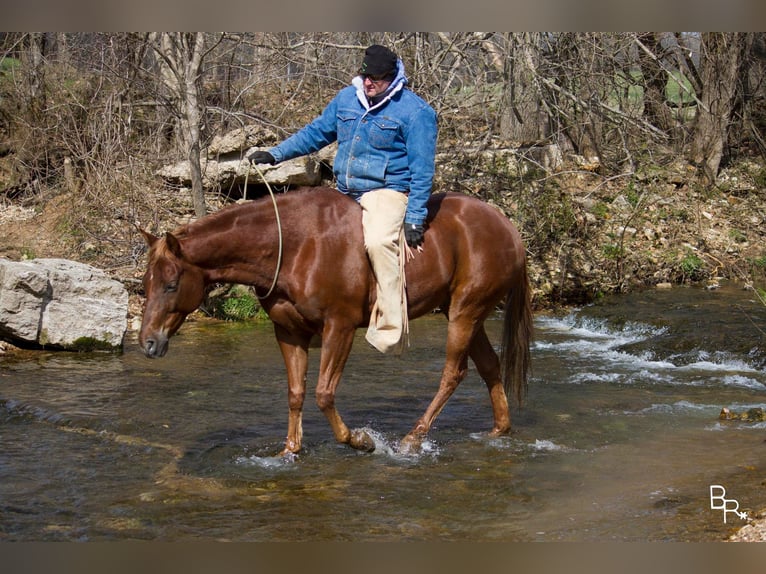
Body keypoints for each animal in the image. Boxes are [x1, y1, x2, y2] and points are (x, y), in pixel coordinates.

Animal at [140, 187, 536, 456]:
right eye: (145, 284)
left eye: (171, 284)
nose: (148, 342)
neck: (294, 247)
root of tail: (508, 227)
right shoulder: (289, 332)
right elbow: (296, 393)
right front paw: (290, 450)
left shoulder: (339, 327)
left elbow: (323, 393)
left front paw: (360, 441)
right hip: (469, 314)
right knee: (489, 365)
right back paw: (498, 431)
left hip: (466, 313)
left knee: (454, 373)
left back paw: (412, 438)